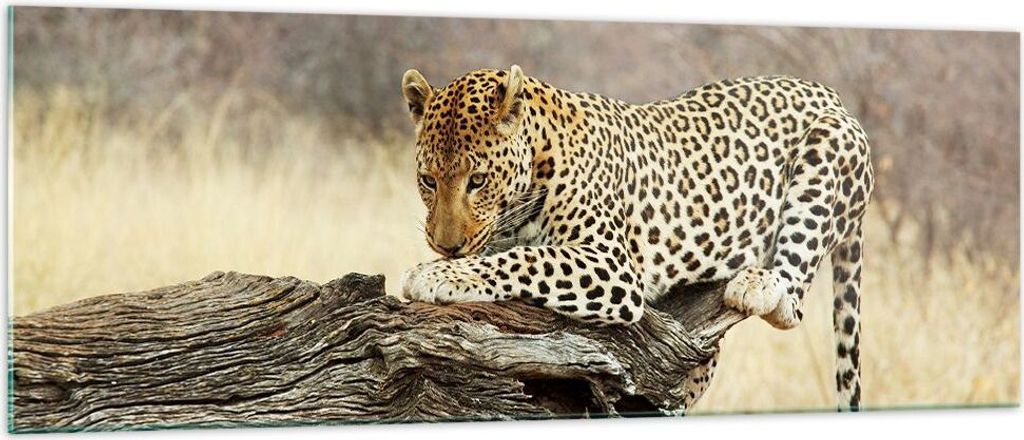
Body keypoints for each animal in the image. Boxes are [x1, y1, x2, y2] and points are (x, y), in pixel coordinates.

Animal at [397, 65, 874, 412]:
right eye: (428, 181)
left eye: (477, 181)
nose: (446, 246)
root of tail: (831, 94)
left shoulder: (612, 264)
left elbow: (526, 259)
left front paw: (437, 275)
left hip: (826, 149)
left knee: (792, 301)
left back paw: (757, 284)